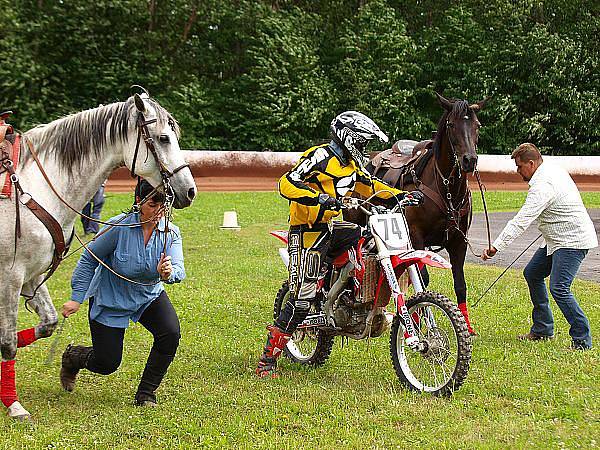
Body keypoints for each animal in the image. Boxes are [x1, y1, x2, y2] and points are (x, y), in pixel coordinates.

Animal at [0, 93, 197, 420]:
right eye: (163, 138)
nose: (190, 191)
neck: (34, 189)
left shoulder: (31, 277)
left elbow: (48, 323)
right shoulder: (10, 278)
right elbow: (8, 343)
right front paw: (14, 405)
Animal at [366, 93, 488, 334]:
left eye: (477, 125)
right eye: (451, 125)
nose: (469, 160)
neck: (446, 190)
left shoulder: (459, 241)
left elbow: (460, 284)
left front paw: (467, 327)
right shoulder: (417, 237)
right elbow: (421, 279)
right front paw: (416, 319)